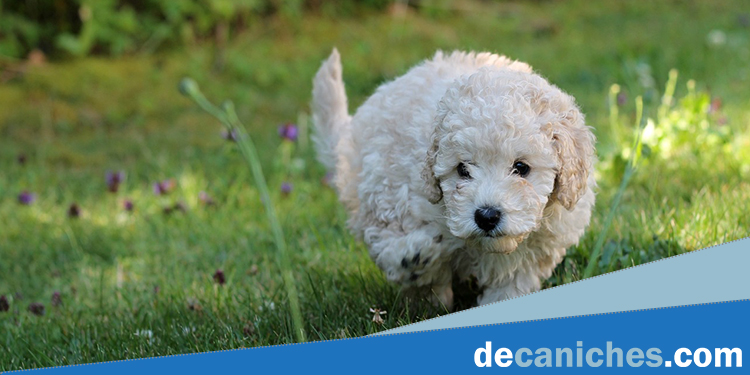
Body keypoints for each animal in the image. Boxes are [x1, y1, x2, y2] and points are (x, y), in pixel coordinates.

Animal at [312, 48, 600, 310]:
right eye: (462, 169)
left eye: (521, 167)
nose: (486, 216)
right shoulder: (401, 202)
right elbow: (406, 257)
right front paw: (415, 262)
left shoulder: (529, 258)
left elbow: (507, 289)